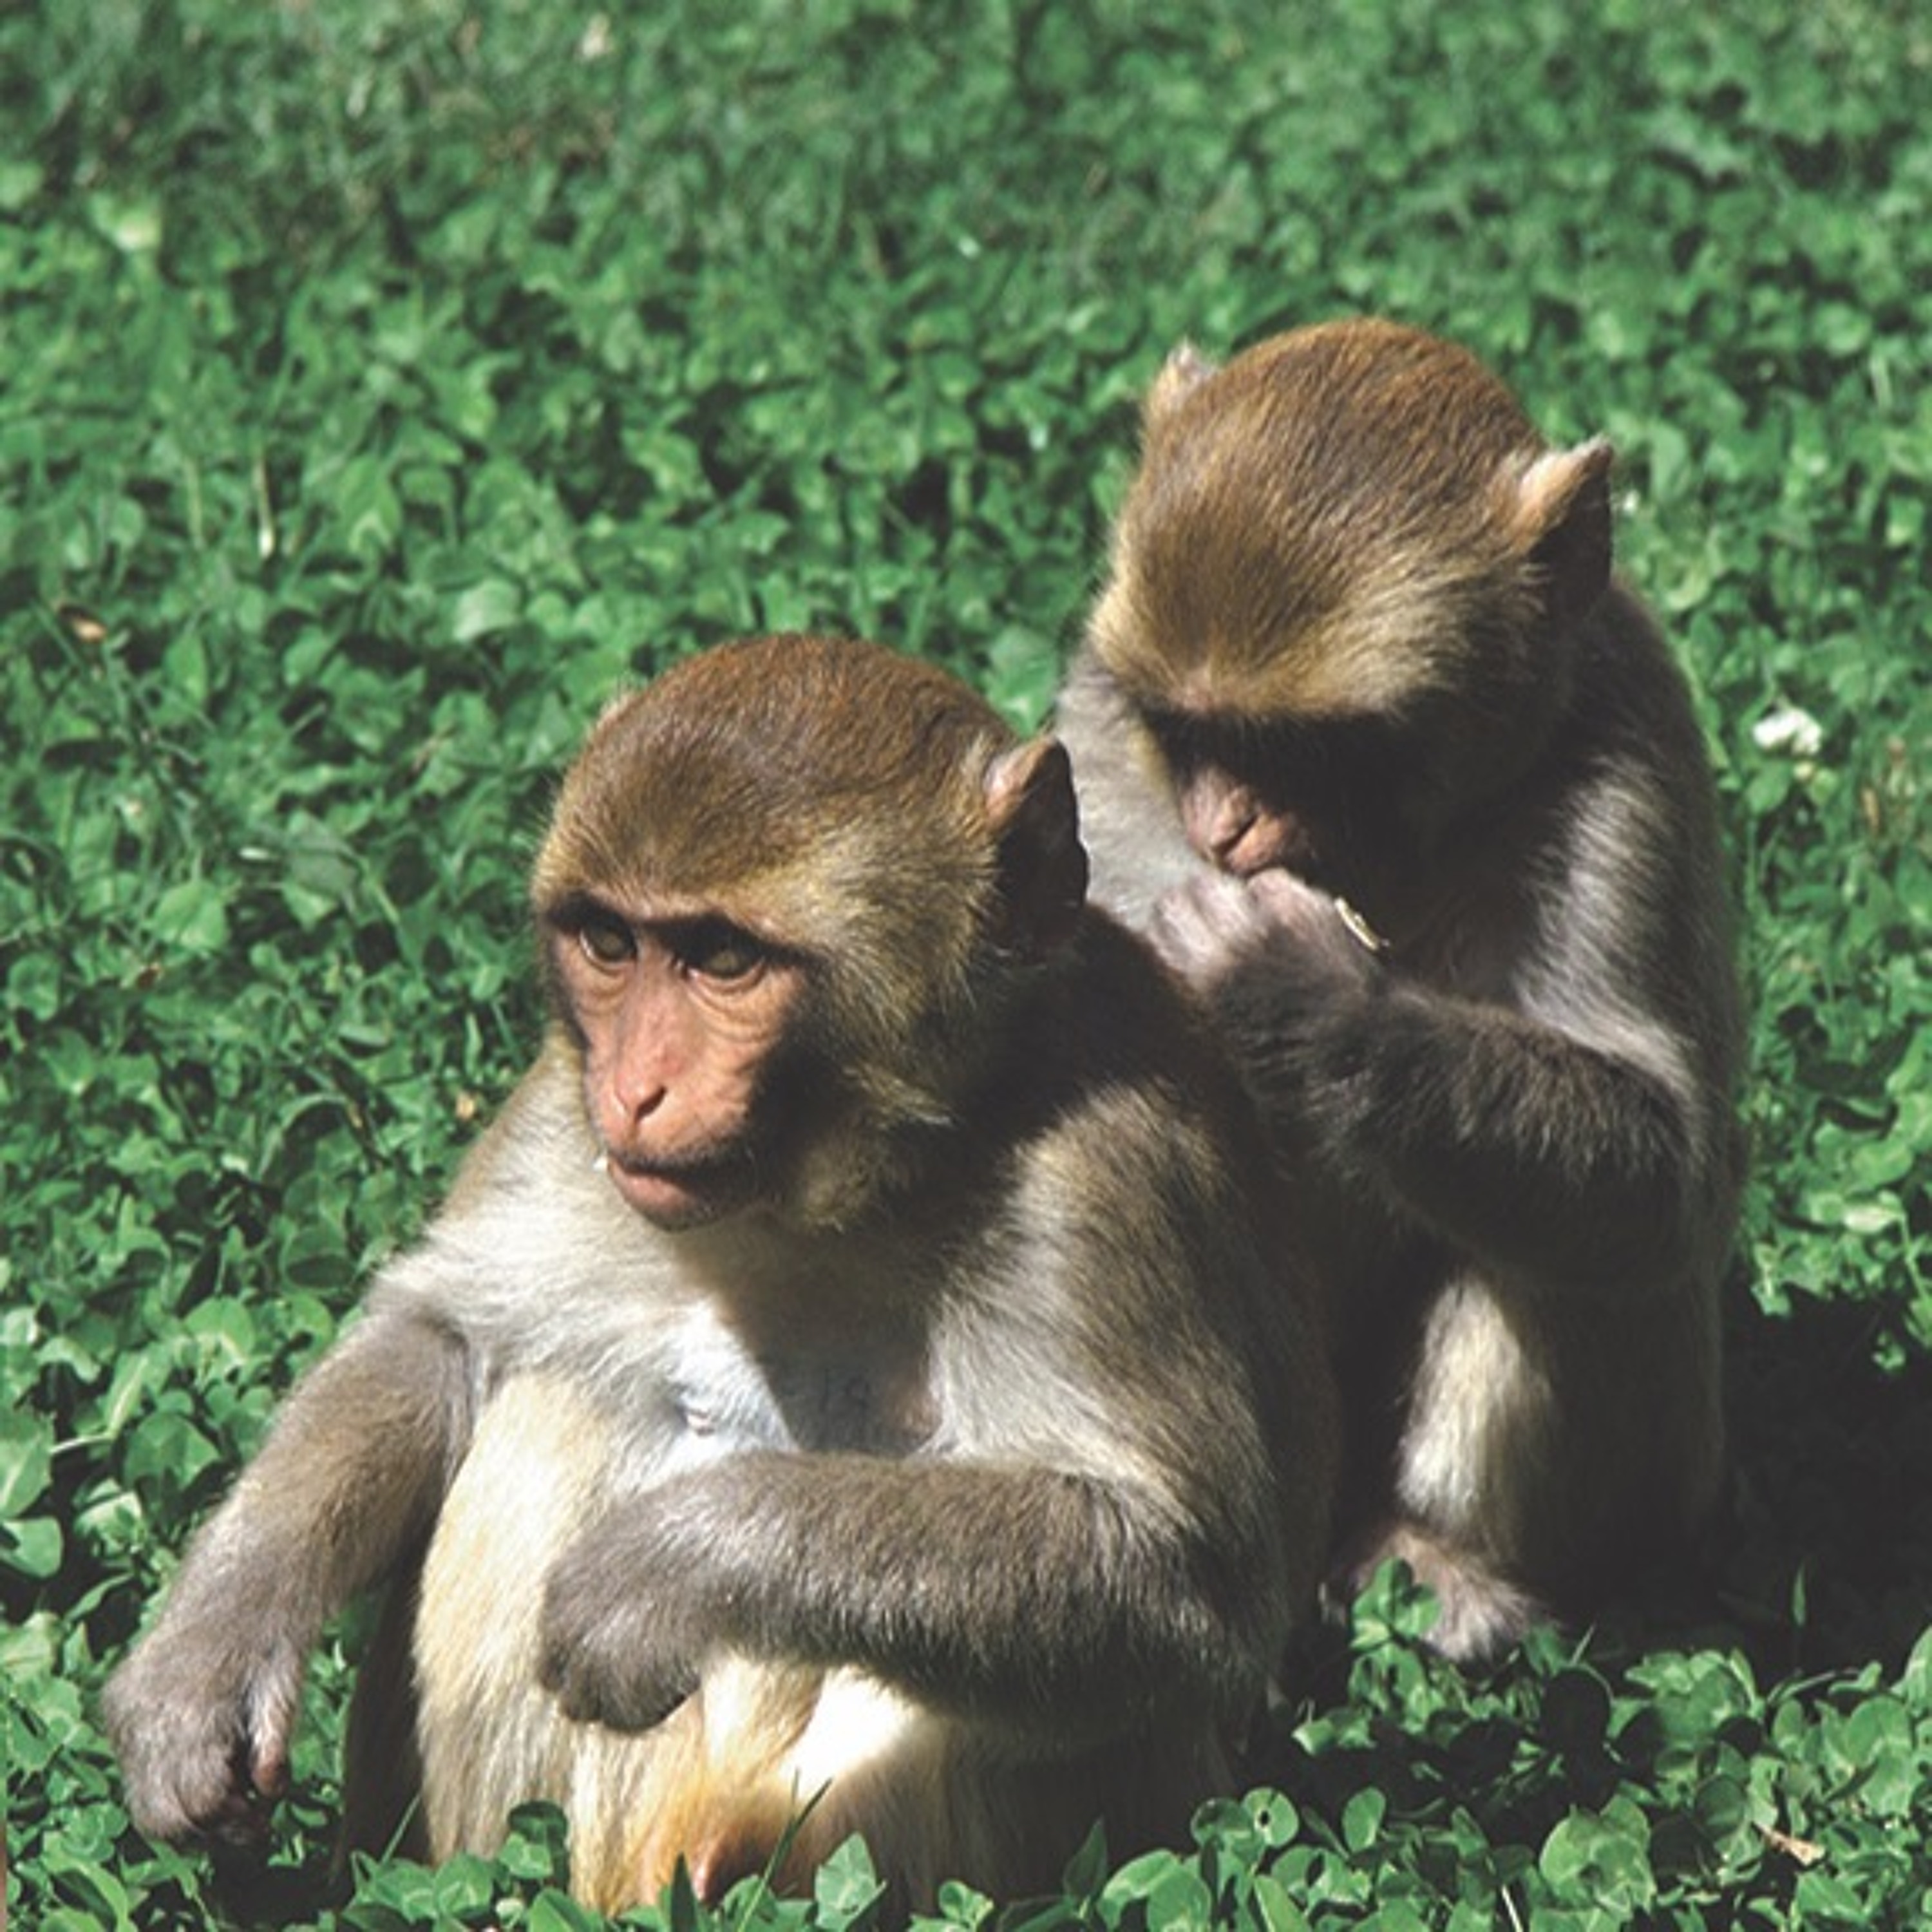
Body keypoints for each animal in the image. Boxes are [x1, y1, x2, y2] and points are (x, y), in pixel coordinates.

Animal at [103, 633, 1338, 1911]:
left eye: (726, 958)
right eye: (612, 944)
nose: (636, 1087)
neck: (848, 1183)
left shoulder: (1094, 1179)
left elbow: (1177, 1580)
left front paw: (660, 1577)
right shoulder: (560, 1109)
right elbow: (442, 1338)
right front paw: (206, 1658)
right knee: (551, 1398)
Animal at [1054, 319, 1747, 1662]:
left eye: (1308, 751)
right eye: (1191, 729)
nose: (1223, 831)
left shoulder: (1624, 763)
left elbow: (1667, 1165)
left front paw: (1301, 1000)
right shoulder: (1101, 724)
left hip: (1670, 1477)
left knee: (1557, 1246)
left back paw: (1451, 1562)